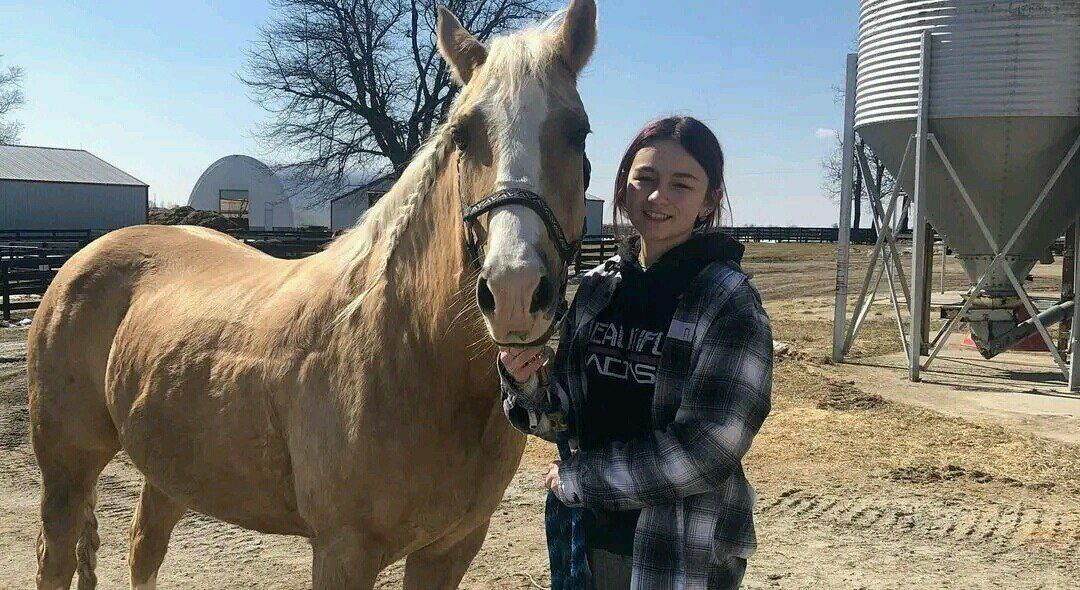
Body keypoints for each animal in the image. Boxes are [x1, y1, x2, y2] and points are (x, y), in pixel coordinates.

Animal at [26, 1, 596, 588]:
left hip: (168, 467)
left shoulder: (451, 547)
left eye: (577, 133)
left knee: (144, 549)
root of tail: (79, 263)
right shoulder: (343, 551)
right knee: (58, 557)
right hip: (66, 466)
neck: (404, 347)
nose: (514, 290)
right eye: (463, 134)